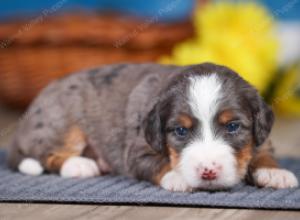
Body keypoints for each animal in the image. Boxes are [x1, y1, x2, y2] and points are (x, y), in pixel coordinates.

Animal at [7, 63, 298, 191]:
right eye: (180, 131)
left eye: (233, 126)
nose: (208, 172)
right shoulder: (137, 151)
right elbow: (158, 164)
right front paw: (179, 177)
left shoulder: (261, 137)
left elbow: (263, 152)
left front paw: (275, 173)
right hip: (62, 124)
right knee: (48, 154)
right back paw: (80, 165)